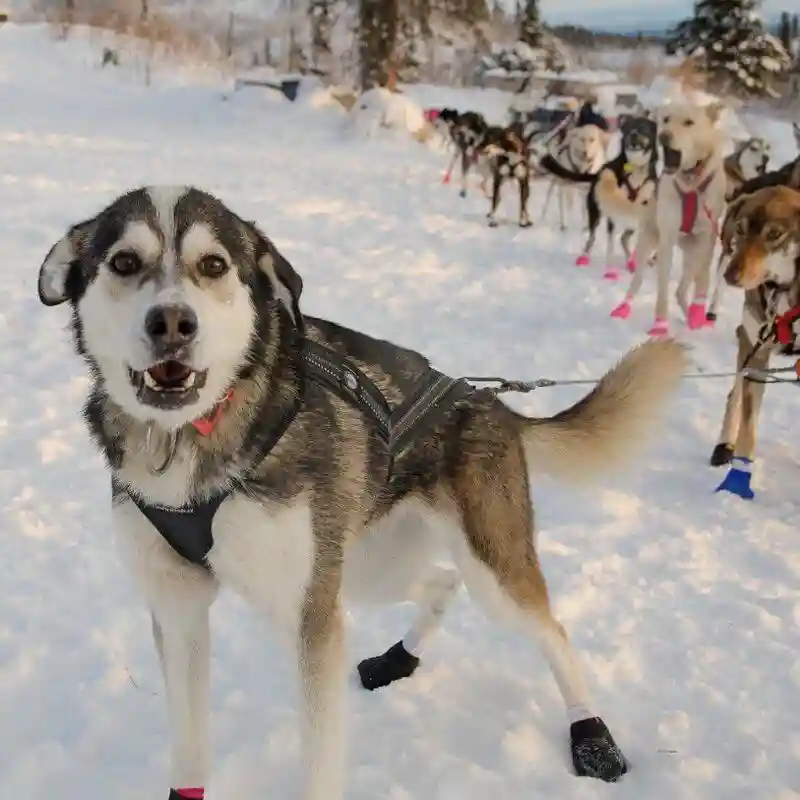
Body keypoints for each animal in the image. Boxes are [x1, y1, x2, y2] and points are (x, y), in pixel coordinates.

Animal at [608, 101, 728, 336]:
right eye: (666, 120)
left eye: (689, 122)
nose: (664, 136)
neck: (691, 183)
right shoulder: (667, 239)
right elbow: (662, 290)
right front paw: (660, 324)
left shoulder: (707, 238)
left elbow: (703, 281)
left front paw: (698, 312)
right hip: (649, 241)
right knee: (638, 280)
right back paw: (624, 306)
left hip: (691, 255)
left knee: (682, 289)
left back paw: (691, 316)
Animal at [708, 189, 800, 500]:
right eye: (741, 228)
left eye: (774, 233)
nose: (730, 275)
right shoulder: (757, 354)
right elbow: (748, 428)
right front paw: (736, 485)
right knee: (734, 394)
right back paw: (723, 445)